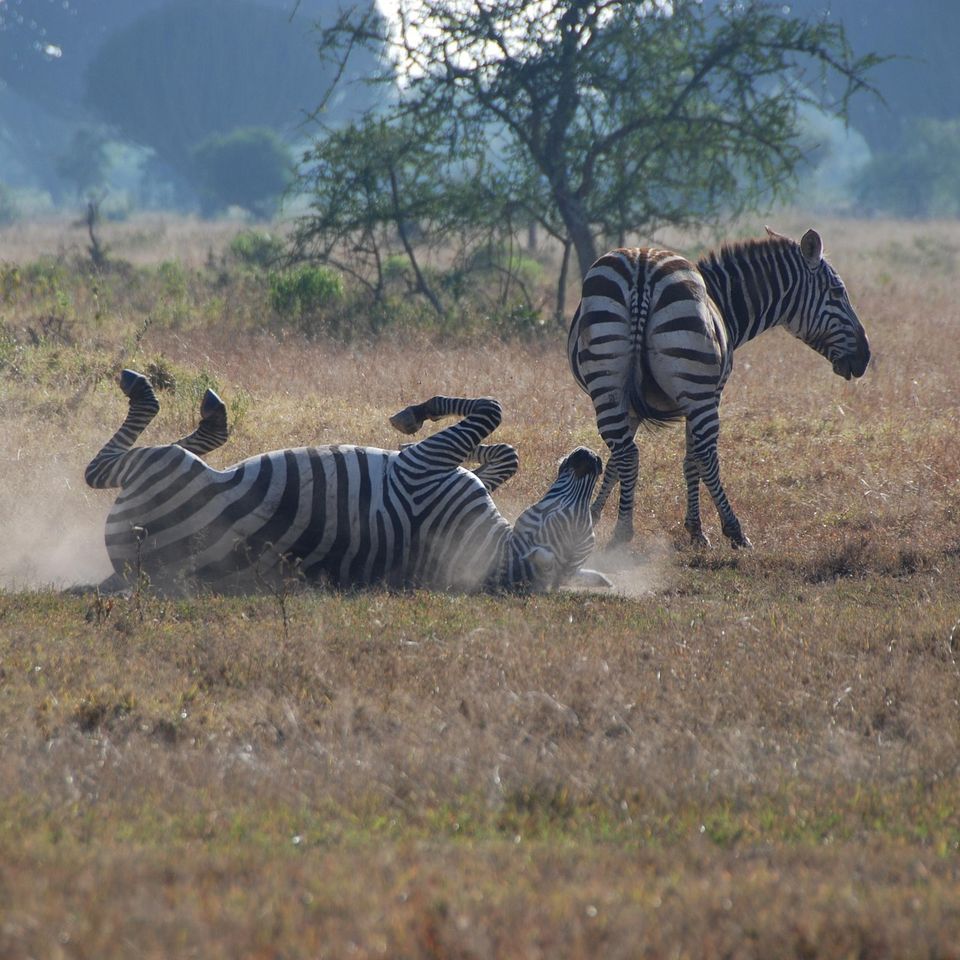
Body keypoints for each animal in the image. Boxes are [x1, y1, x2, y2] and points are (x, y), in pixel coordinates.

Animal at [84, 369, 612, 595]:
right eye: (577, 517)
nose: (591, 459)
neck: (486, 550)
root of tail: (125, 571)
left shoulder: (424, 466)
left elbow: (491, 409)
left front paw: (412, 414)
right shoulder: (437, 467)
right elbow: (505, 452)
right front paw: (480, 457)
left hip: (162, 468)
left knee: (100, 469)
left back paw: (152, 390)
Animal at [567, 227, 870, 548]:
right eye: (837, 292)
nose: (865, 356)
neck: (723, 303)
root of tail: (641, 268)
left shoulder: (632, 407)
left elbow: (615, 461)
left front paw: (591, 514)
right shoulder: (708, 395)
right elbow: (691, 460)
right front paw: (696, 530)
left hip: (608, 382)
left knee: (627, 452)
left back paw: (622, 531)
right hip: (696, 389)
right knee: (705, 455)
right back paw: (734, 530)